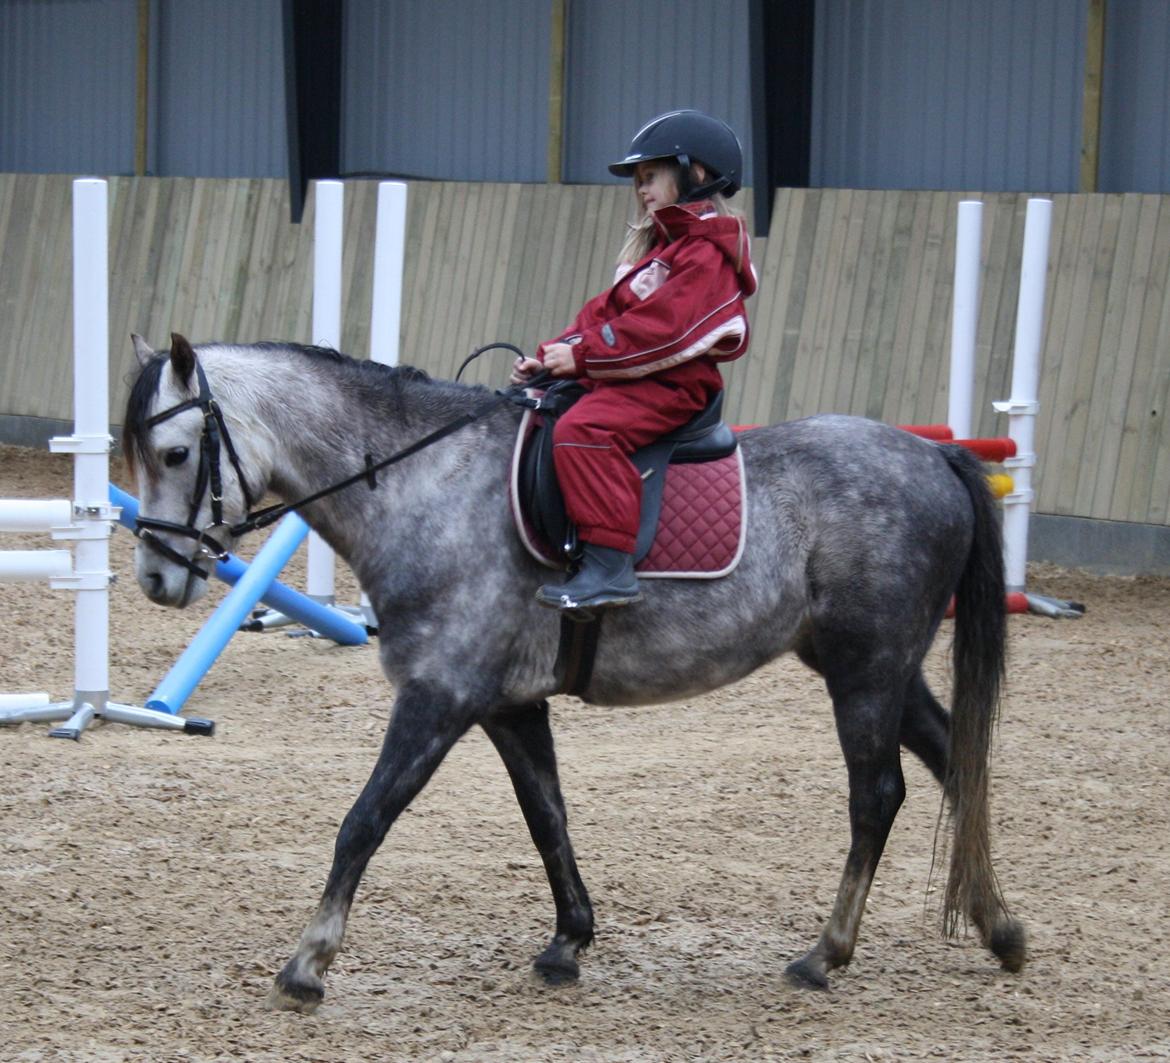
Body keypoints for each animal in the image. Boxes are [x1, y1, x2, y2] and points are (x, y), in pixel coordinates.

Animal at [122, 333, 1026, 1013]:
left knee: (879, 795)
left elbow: (364, 820)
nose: (157, 579)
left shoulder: (438, 697)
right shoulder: (507, 706)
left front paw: (309, 962)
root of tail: (934, 455)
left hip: (864, 668)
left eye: (175, 451)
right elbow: (546, 815)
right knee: (956, 759)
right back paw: (999, 926)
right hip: (878, 667)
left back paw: (825, 953)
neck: (429, 484)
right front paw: (568, 940)